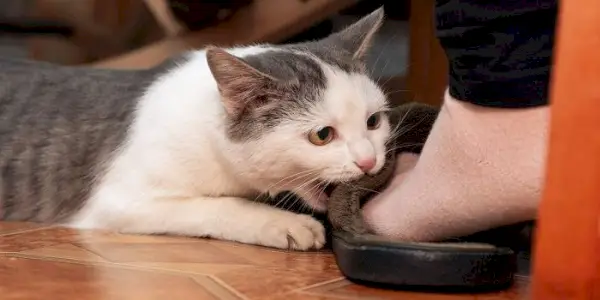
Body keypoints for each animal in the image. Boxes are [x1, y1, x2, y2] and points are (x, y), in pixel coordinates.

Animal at [0, 8, 390, 250]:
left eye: (373, 122)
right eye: (322, 135)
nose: (369, 162)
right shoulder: (118, 200)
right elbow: (221, 205)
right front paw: (285, 223)